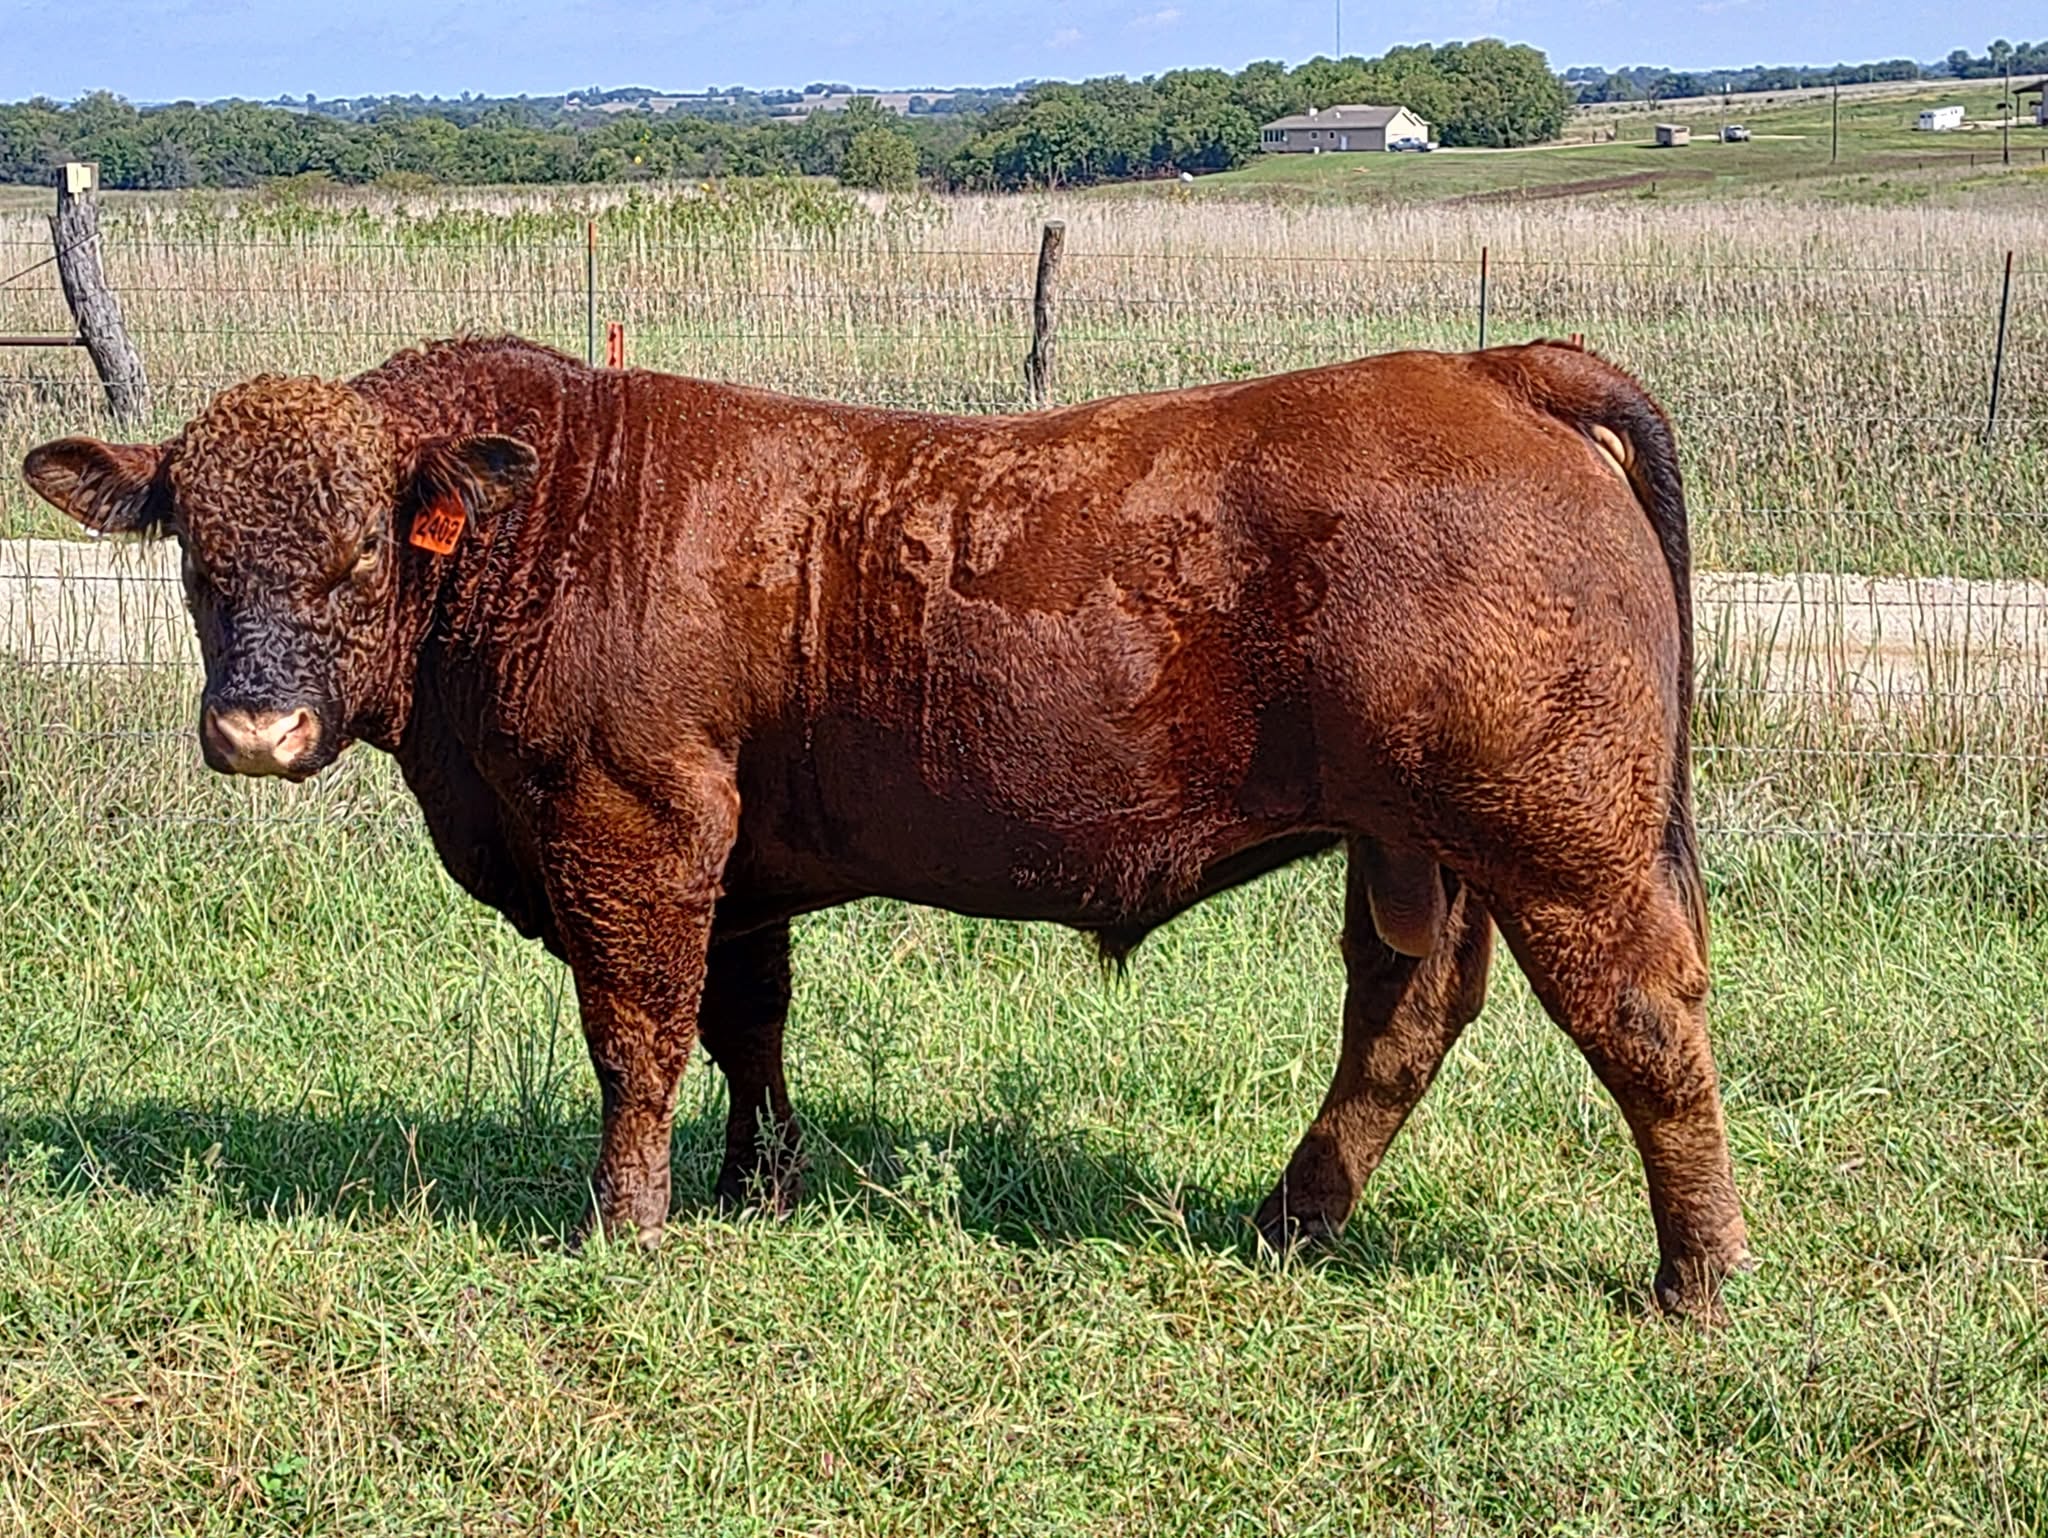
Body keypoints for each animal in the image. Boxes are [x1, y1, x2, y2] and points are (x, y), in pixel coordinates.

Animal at [23, 335, 1751, 1317]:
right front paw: (753, 1185)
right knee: (1405, 1014)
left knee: (1645, 1020)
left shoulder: (632, 820)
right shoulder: (735, 862)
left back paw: (1697, 1275)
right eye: (196, 561)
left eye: (361, 558)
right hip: (1424, 845)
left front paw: (628, 1222)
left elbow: (636, 1032)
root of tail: (1484, 366)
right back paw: (1288, 1220)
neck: (546, 524)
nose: (254, 730)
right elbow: (746, 1023)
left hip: (1561, 839)